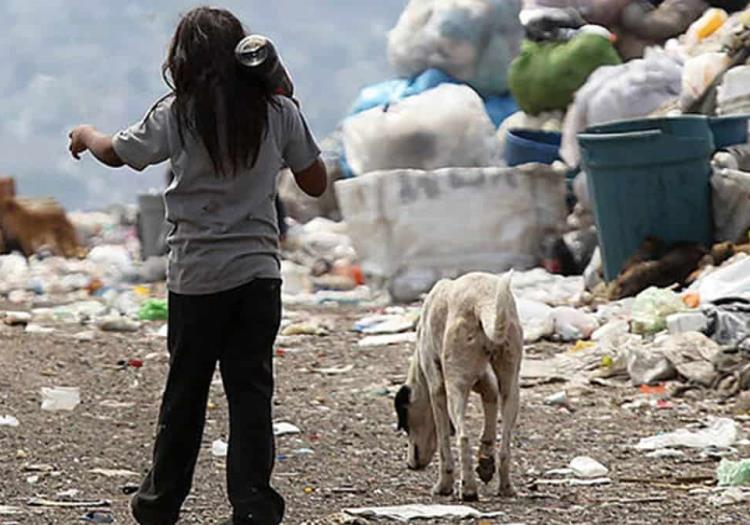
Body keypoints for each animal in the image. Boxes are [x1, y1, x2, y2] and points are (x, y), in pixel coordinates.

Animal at [396, 272, 524, 502]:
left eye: (405, 424)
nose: (410, 465)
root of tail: (483, 300)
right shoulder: (485, 381)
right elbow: (490, 406)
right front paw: (485, 461)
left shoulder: (437, 389)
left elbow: (444, 443)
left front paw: (443, 485)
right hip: (511, 385)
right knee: (505, 446)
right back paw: (505, 487)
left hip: (456, 386)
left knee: (463, 437)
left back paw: (468, 489)